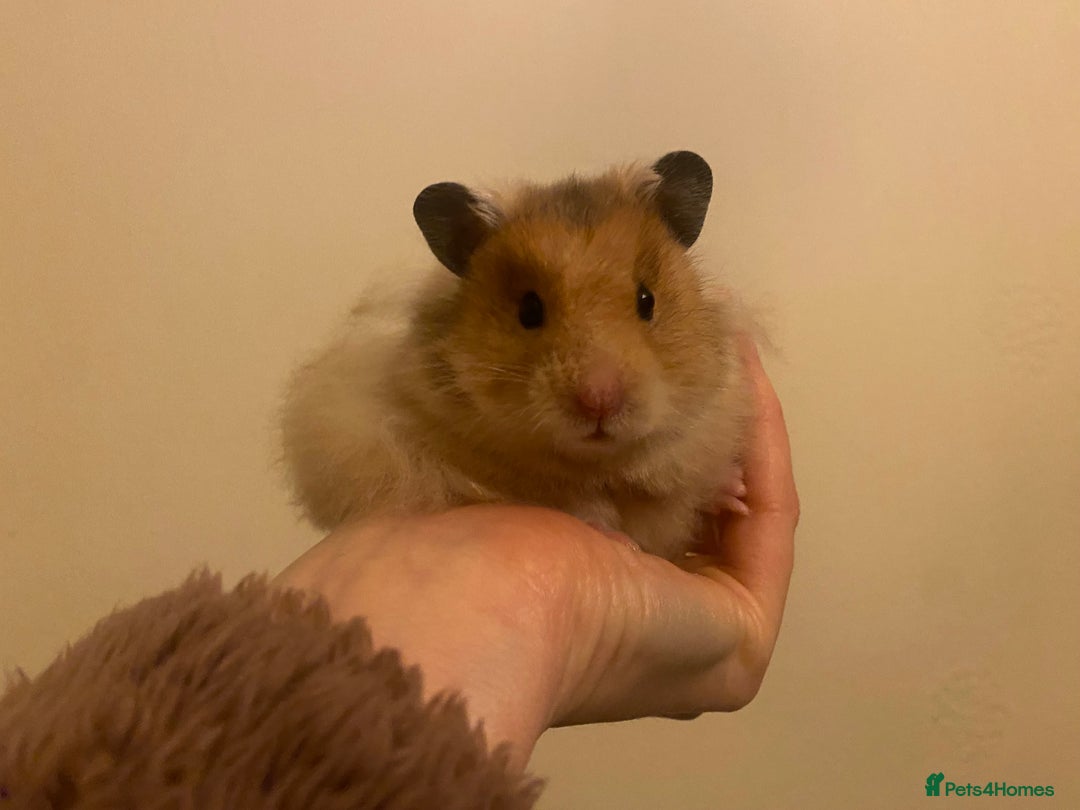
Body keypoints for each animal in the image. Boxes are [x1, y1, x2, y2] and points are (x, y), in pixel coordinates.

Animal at [281, 151, 751, 560]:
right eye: (529, 310)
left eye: (646, 300)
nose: (599, 401)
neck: (597, 464)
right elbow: (571, 502)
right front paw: (616, 538)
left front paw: (737, 493)